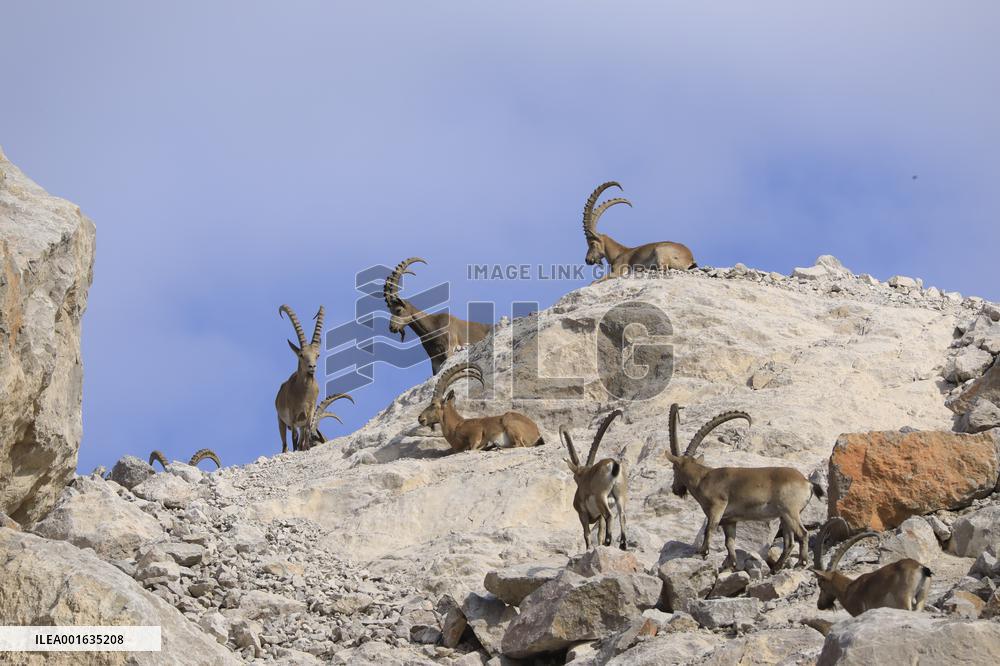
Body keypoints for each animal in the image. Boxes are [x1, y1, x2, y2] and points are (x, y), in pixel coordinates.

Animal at [274, 304, 324, 453]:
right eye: (301, 355)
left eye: (317, 355)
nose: (312, 367)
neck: (304, 392)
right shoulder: (292, 416)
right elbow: (294, 437)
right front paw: (296, 449)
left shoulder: (309, 412)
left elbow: (307, 432)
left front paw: (306, 448)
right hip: (280, 421)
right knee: (285, 443)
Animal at [561, 409, 629, 550]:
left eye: (575, 478)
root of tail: (613, 464)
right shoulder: (599, 516)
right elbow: (599, 533)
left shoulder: (582, 513)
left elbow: (587, 533)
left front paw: (589, 548)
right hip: (620, 495)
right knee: (622, 516)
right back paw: (622, 545)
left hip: (601, 497)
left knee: (610, 516)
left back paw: (608, 543)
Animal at [664, 404, 822, 571]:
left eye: (674, 469)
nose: (675, 489)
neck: (703, 478)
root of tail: (807, 482)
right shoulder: (729, 520)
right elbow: (729, 542)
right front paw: (731, 564)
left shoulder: (717, 507)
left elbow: (710, 528)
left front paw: (703, 552)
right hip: (784, 516)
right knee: (789, 542)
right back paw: (776, 568)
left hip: (790, 511)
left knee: (803, 534)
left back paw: (801, 562)